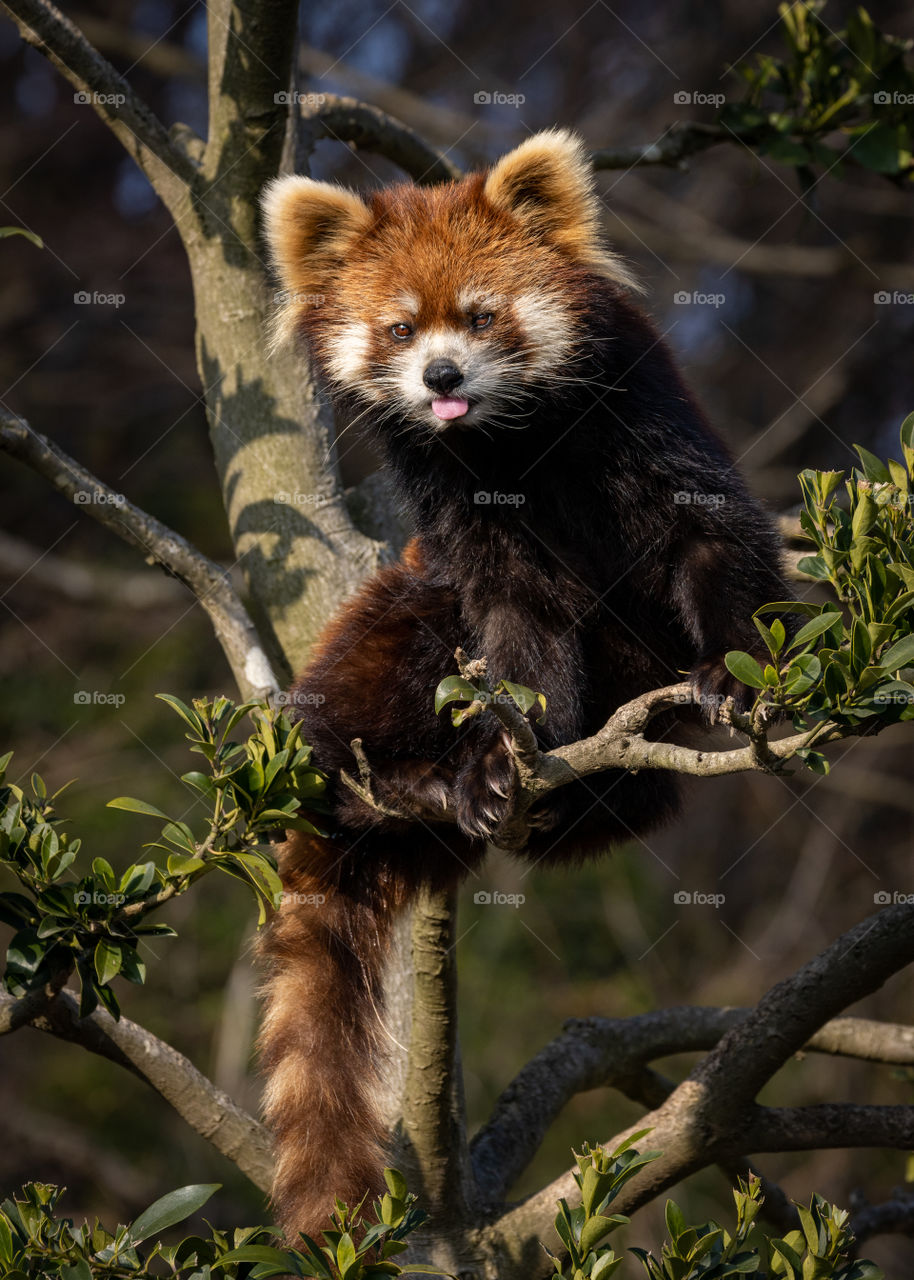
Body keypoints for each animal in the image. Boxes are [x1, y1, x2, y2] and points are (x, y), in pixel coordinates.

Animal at [252, 132, 788, 1239]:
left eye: (482, 314)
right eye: (398, 328)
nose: (441, 373)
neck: (509, 433)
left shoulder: (643, 414)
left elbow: (715, 540)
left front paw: (730, 669)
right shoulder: (459, 507)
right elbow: (510, 623)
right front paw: (503, 749)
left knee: (637, 795)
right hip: (373, 635)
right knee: (363, 708)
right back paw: (425, 783)